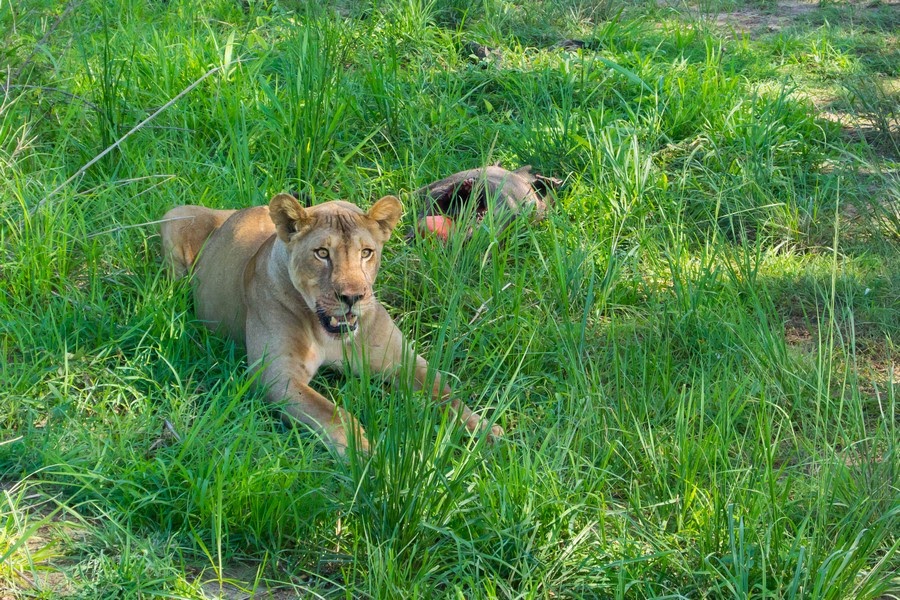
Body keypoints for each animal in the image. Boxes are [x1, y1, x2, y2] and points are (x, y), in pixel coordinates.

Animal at [158, 195, 502, 452]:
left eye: (367, 253)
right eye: (322, 253)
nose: (352, 296)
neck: (330, 336)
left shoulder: (401, 358)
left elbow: (445, 393)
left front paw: (486, 430)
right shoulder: (276, 375)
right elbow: (334, 415)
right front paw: (364, 453)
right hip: (175, 215)